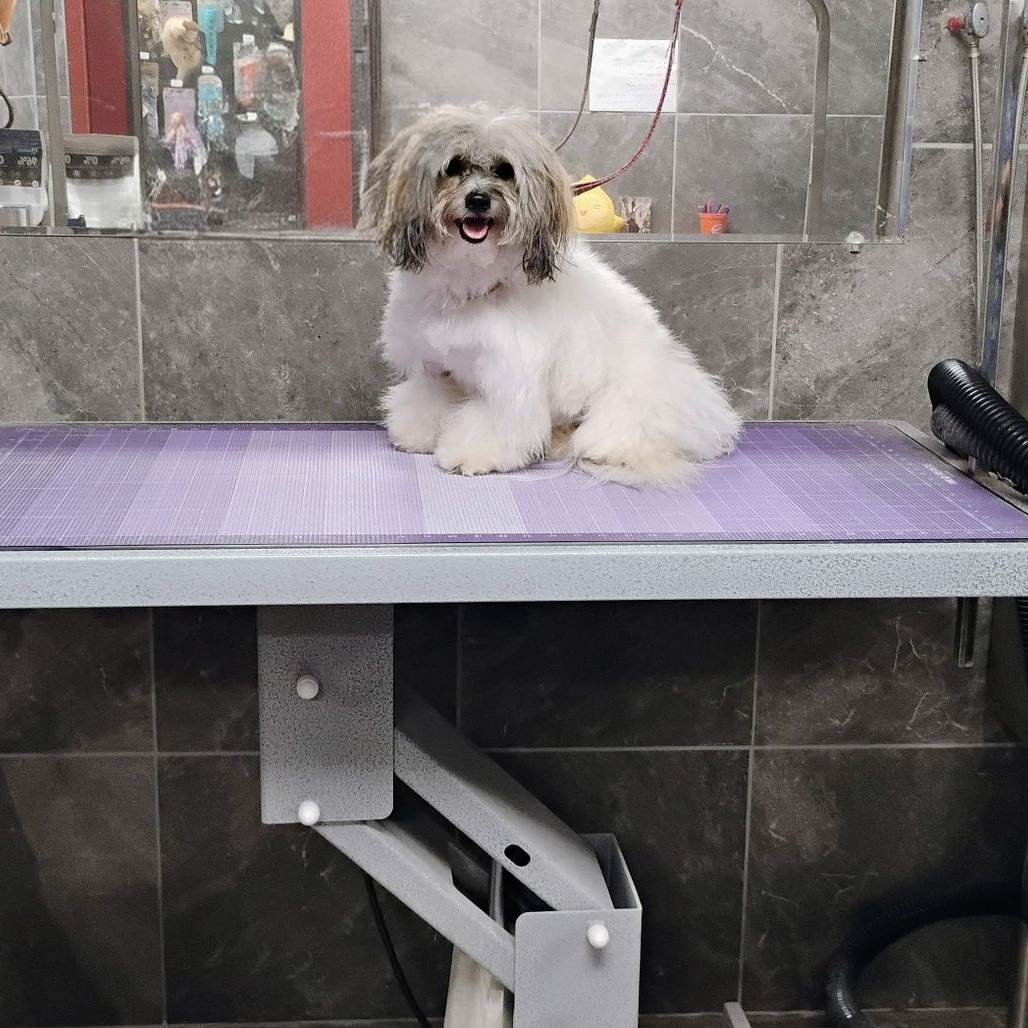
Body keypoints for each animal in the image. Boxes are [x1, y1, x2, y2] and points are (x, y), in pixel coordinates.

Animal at [359, 104, 741, 486]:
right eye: (453, 166)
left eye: (505, 170)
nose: (478, 199)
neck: (473, 280)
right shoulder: (435, 367)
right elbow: (427, 402)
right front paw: (417, 434)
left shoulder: (509, 377)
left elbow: (497, 423)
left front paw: (473, 455)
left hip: (628, 404)